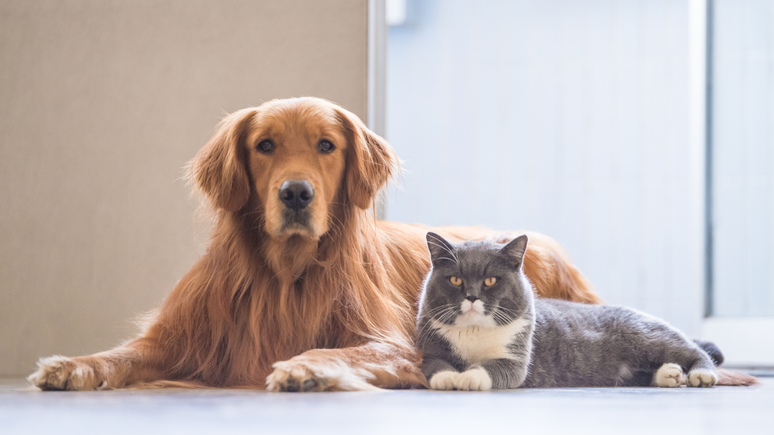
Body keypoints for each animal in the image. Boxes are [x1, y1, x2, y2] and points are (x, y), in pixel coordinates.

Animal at [418, 233, 720, 390]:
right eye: (455, 280)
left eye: (491, 280)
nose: (471, 296)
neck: (475, 331)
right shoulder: (431, 347)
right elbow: (434, 365)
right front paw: (448, 378)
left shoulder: (515, 357)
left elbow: (492, 367)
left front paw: (468, 377)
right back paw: (668, 375)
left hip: (645, 336)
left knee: (693, 350)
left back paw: (700, 374)